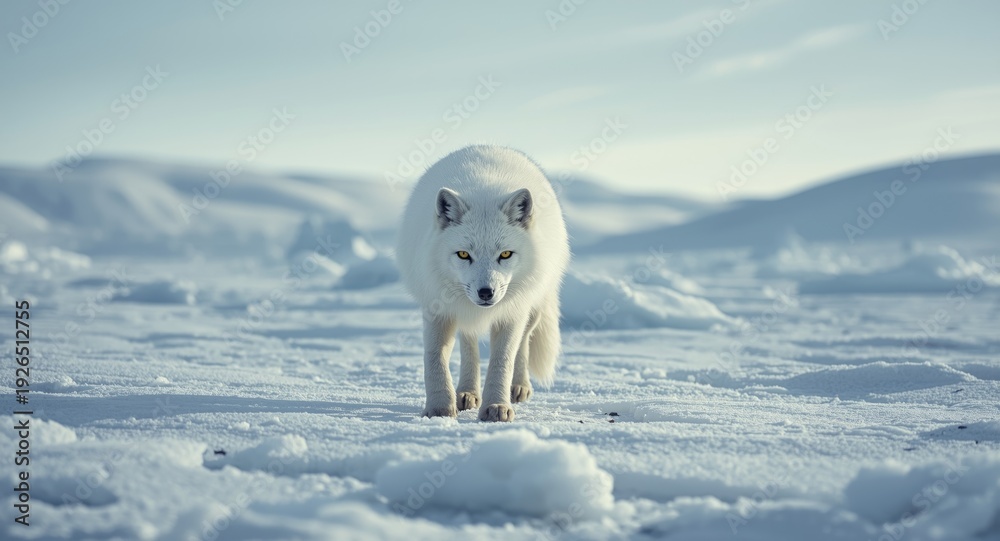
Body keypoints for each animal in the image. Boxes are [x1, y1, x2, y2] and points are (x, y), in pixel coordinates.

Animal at [396, 145, 570, 422]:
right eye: (463, 254)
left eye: (506, 254)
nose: (486, 292)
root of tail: (487, 146)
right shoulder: (437, 309)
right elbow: (434, 359)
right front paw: (439, 408)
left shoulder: (513, 313)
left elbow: (503, 360)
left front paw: (497, 406)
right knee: (469, 342)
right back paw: (467, 391)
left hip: (534, 305)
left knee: (524, 341)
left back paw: (518, 386)